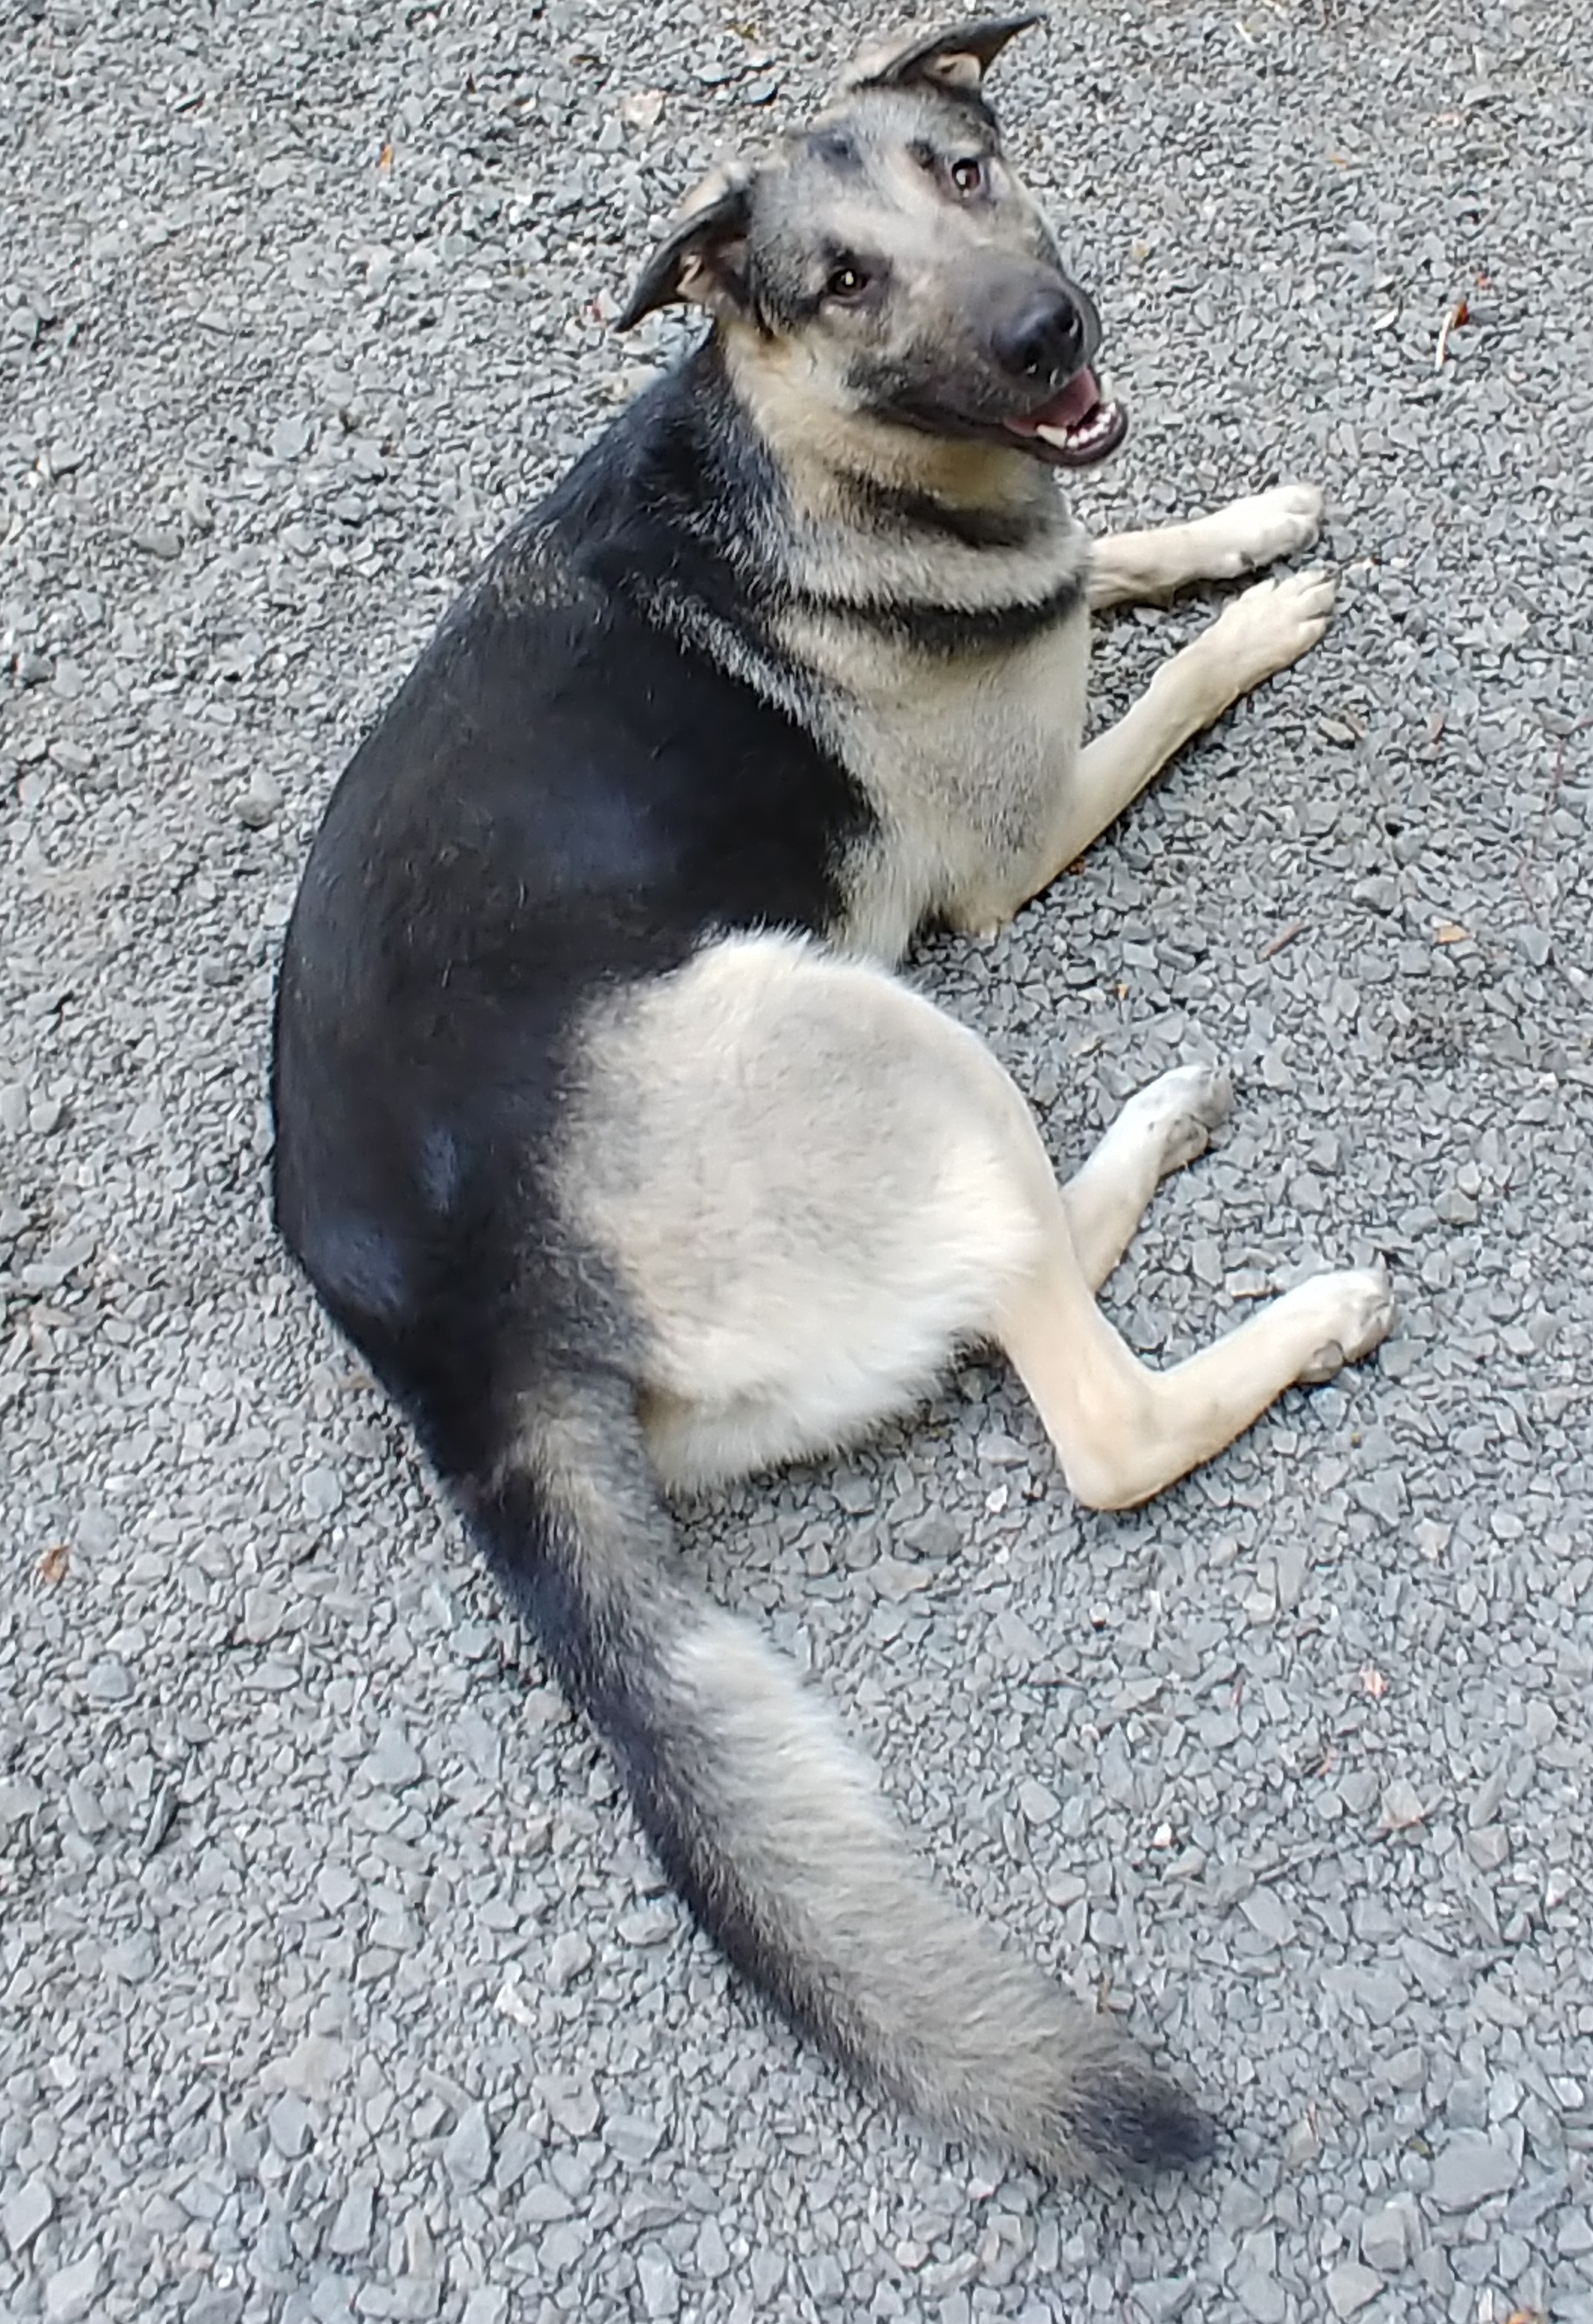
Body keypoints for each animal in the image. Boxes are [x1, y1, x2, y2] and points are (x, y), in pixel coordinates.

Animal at [274, 18, 1393, 2184]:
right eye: (839, 280)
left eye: (962, 167)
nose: (1047, 332)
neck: (810, 455)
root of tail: (457, 1355)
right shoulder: (1029, 826)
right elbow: (1151, 665)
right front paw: (1252, 615)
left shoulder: (1055, 534)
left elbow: (1108, 546)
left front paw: (1240, 520)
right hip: (862, 1026)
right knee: (1089, 1406)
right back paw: (1281, 1287)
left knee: (992, 1289)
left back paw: (1143, 1131)